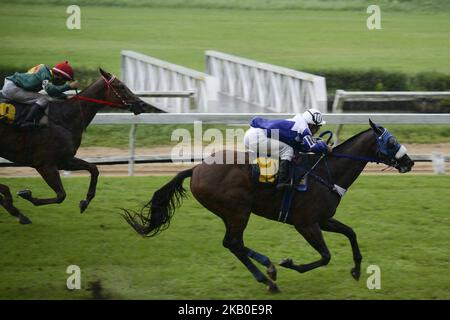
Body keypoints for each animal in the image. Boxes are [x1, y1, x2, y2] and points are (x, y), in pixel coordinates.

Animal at [0, 68, 160, 222]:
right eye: (121, 86)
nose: (142, 104)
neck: (64, 118)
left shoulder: (64, 161)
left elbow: (94, 169)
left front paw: (85, 202)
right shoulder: (45, 165)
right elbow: (61, 195)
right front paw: (25, 195)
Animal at [121, 120, 414, 292]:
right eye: (391, 141)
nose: (409, 162)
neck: (327, 172)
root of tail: (196, 169)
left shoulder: (323, 220)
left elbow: (351, 233)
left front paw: (356, 269)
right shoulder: (306, 224)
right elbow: (325, 256)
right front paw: (290, 263)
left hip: (233, 213)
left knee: (234, 244)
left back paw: (268, 274)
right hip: (237, 210)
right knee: (233, 243)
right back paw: (269, 275)